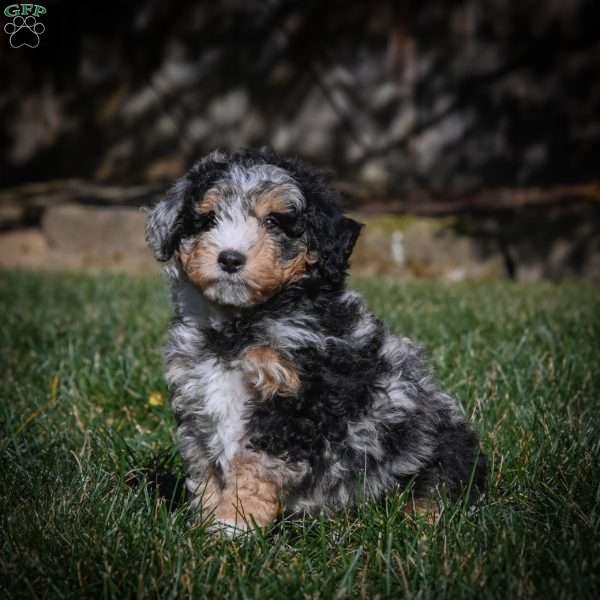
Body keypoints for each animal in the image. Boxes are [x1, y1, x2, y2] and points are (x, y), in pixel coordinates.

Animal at [145, 148, 488, 532]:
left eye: (273, 222)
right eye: (208, 219)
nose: (230, 258)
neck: (239, 326)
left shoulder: (293, 404)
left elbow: (254, 467)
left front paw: (233, 525)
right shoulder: (197, 399)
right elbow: (206, 466)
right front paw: (204, 524)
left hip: (436, 450)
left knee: (438, 489)